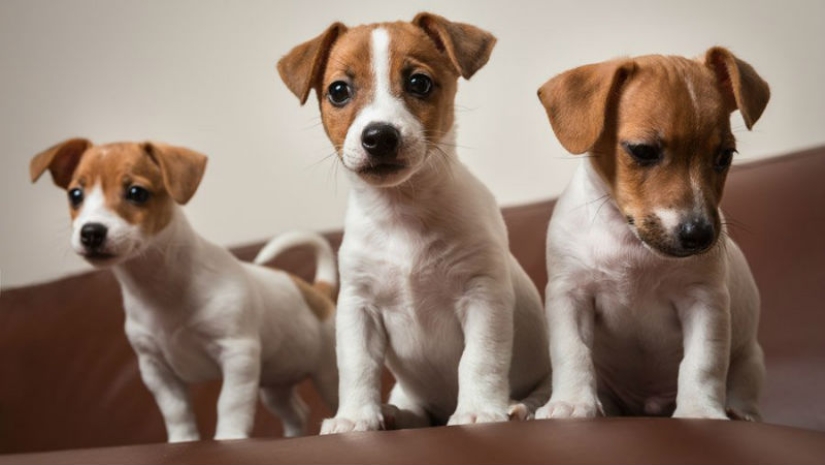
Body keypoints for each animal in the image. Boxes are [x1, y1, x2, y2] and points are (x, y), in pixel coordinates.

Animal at [29, 140, 338, 440]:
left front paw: (229, 437)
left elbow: (230, 403)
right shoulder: (155, 370)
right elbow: (175, 410)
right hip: (275, 385)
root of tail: (317, 292)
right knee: (296, 412)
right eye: (75, 195)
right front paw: (183, 441)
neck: (160, 287)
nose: (91, 232)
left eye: (136, 192)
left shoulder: (238, 354)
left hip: (326, 375)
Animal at [278, 11, 552, 432]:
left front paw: (478, 411)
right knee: (416, 413)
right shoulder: (358, 307)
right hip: (408, 391)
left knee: (538, 393)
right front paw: (354, 417)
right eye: (338, 90)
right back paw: (394, 414)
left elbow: (479, 359)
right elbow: (357, 366)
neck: (401, 213)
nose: (379, 136)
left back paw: (517, 407)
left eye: (418, 83)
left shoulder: (482, 295)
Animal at [536, 48, 768, 420]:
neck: (630, 242)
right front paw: (571, 402)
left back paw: (740, 412)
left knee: (743, 390)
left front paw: (700, 411)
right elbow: (572, 351)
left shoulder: (704, 301)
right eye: (643, 151)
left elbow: (701, 363)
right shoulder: (570, 295)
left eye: (724, 156)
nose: (699, 235)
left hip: (749, 362)